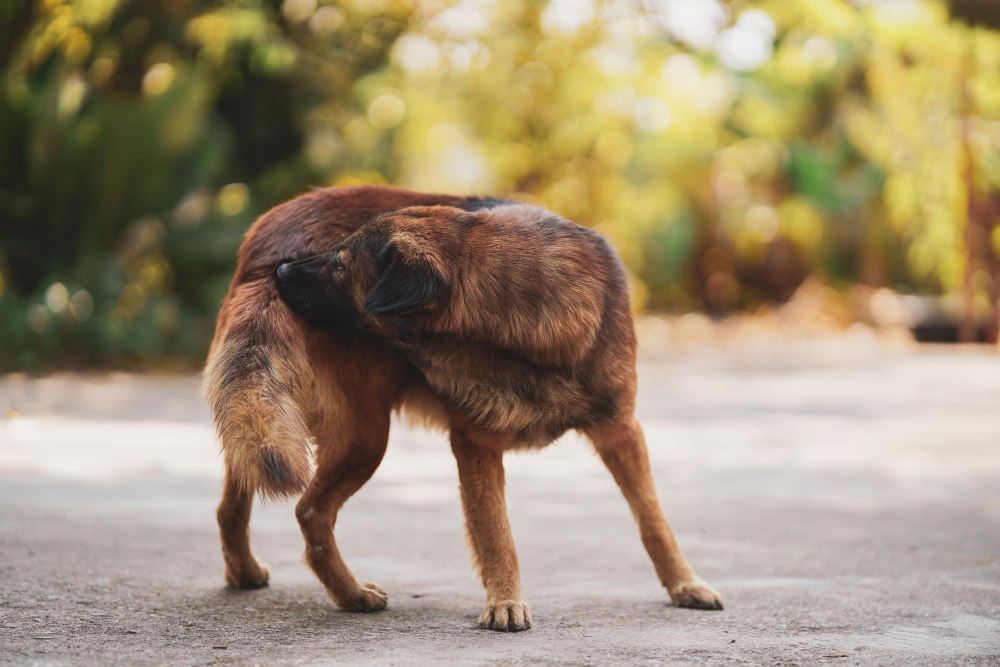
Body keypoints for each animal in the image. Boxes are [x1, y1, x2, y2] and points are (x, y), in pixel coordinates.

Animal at [203, 187, 724, 632]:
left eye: (340, 265)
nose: (282, 273)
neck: (530, 313)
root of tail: (264, 242)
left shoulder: (621, 429)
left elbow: (653, 518)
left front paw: (684, 583)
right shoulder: (476, 444)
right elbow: (496, 532)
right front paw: (505, 602)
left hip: (279, 424)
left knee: (235, 502)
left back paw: (246, 571)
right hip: (364, 438)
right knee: (311, 511)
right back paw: (351, 595)